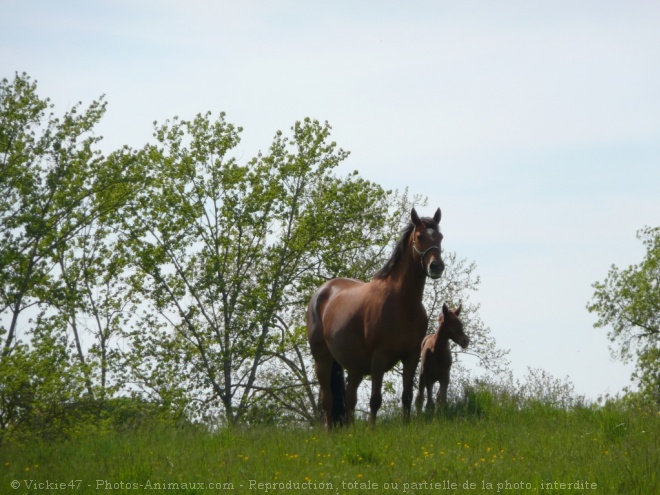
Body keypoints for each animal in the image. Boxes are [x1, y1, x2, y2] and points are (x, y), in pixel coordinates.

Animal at [308, 207, 444, 428]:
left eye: (440, 237)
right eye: (419, 236)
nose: (436, 266)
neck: (403, 303)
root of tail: (321, 292)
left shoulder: (411, 357)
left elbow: (406, 396)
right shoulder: (379, 359)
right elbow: (375, 400)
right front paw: (372, 430)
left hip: (355, 366)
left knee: (349, 399)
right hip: (322, 358)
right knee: (327, 399)